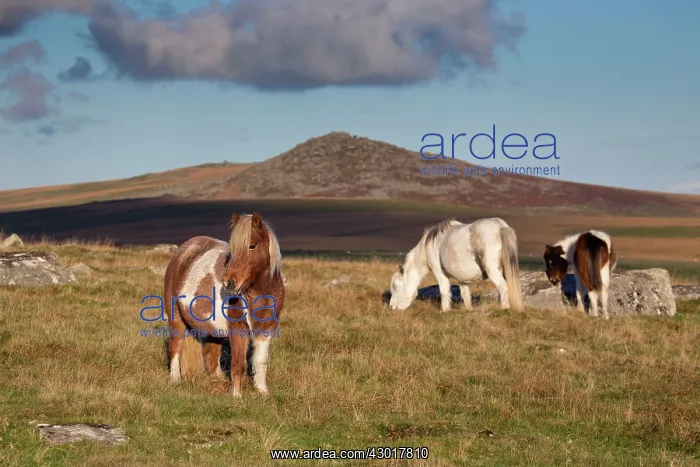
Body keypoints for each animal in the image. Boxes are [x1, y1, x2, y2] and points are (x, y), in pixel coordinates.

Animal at [163, 212, 285, 397]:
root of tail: (184, 250)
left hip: (212, 328)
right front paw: (237, 396)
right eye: (231, 251)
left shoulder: (267, 328)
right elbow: (238, 363)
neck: (260, 293)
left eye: (252, 246)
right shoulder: (237, 329)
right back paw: (175, 381)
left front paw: (263, 392)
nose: (229, 283)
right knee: (175, 347)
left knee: (210, 356)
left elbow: (260, 361)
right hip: (175, 318)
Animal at [388, 217, 524, 312]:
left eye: (395, 286)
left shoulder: (440, 273)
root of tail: (500, 226)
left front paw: (445, 310)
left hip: (493, 270)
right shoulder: (462, 278)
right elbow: (465, 295)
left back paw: (504, 308)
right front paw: (469, 310)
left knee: (502, 286)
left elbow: (444, 291)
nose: (391, 307)